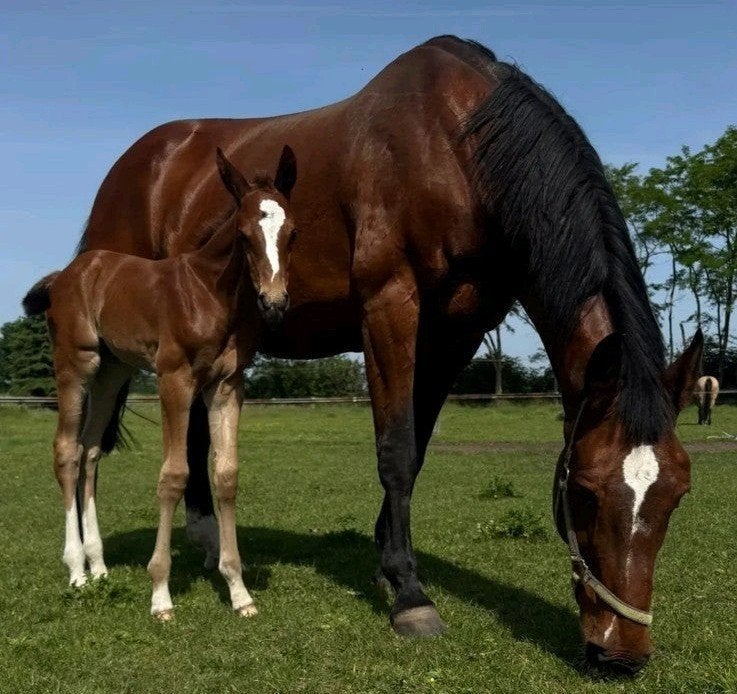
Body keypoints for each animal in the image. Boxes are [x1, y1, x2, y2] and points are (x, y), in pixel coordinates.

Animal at [23, 147, 297, 619]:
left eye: (292, 232)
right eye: (244, 234)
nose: (274, 302)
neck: (209, 293)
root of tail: (67, 274)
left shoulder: (226, 386)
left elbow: (226, 475)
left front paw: (238, 590)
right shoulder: (175, 380)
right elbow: (174, 475)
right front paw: (161, 594)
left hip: (113, 372)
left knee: (89, 451)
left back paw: (98, 565)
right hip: (76, 364)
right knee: (65, 451)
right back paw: (76, 569)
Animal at [64, 36, 701, 674]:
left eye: (676, 494)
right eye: (586, 492)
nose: (620, 654)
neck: (454, 148)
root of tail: (136, 164)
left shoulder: (455, 334)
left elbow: (414, 452)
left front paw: (386, 565)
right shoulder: (389, 307)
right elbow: (395, 450)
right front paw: (409, 595)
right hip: (110, 355)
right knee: (84, 446)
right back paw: (87, 565)